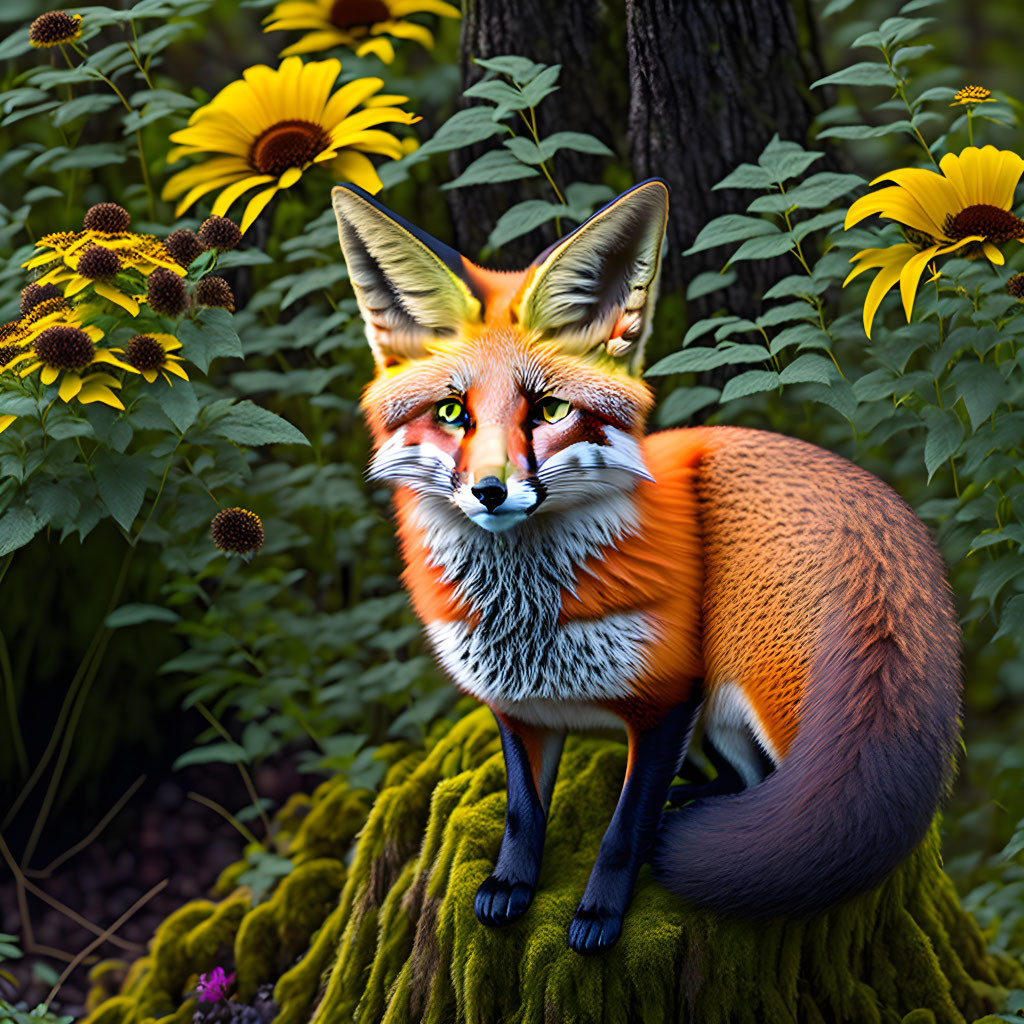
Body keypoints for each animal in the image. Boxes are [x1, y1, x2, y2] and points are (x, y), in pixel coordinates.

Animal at [331, 180, 962, 954]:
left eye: (549, 411)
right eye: (452, 413)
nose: (490, 491)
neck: (529, 620)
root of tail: (871, 497)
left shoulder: (668, 703)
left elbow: (624, 830)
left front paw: (600, 914)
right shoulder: (518, 708)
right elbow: (522, 812)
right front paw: (511, 885)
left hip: (751, 688)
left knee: (796, 809)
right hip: (723, 721)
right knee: (743, 783)